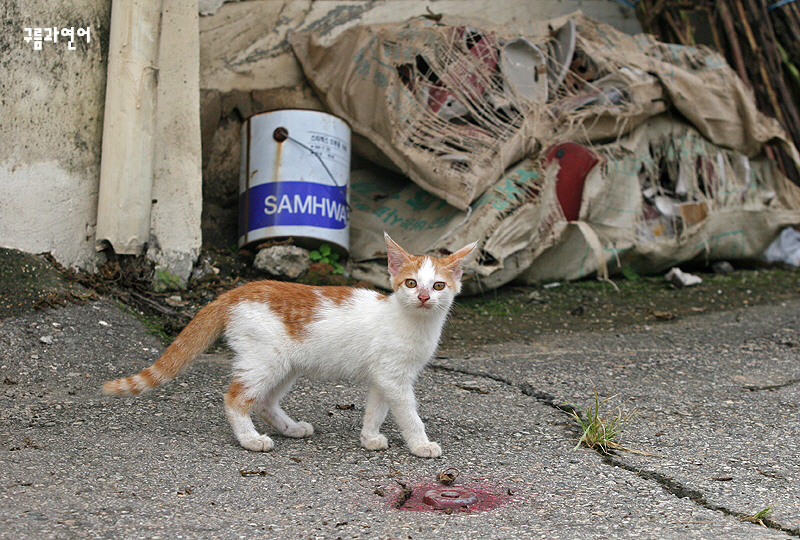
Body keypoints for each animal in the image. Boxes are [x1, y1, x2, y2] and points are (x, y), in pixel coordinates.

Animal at [101, 234, 476, 458]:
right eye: (411, 283)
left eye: (438, 285)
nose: (424, 297)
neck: (411, 322)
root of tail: (237, 290)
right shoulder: (394, 378)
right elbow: (409, 413)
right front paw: (421, 443)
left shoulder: (386, 375)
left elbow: (377, 408)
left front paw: (369, 437)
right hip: (266, 359)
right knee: (236, 398)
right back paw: (250, 439)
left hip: (286, 364)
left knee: (265, 401)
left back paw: (290, 428)